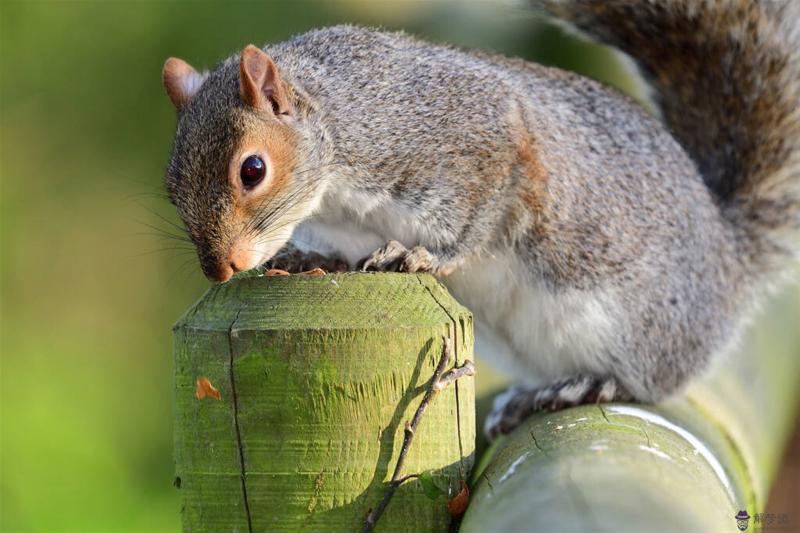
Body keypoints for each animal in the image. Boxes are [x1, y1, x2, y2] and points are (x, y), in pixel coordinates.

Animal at [161, 2, 800, 438]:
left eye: (252, 169)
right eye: (171, 188)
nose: (220, 269)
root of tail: (726, 260)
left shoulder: (484, 145)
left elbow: (477, 224)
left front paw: (419, 254)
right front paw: (310, 257)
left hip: (643, 325)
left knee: (654, 381)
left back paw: (592, 383)